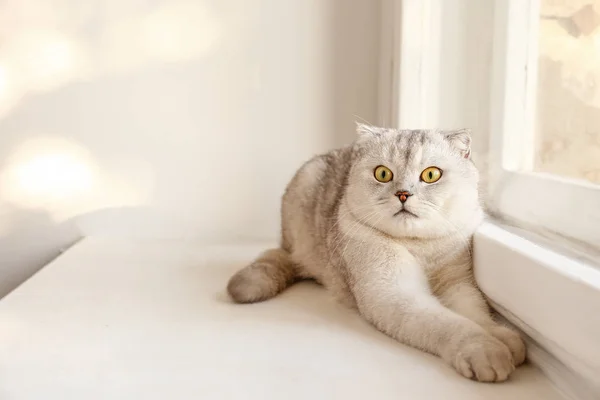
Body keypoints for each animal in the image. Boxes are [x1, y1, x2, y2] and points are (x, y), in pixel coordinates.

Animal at [227, 124, 528, 382]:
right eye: (383, 174)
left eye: (431, 175)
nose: (403, 194)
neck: (420, 246)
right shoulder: (393, 294)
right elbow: (450, 324)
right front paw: (485, 349)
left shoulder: (458, 283)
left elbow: (475, 313)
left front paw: (501, 336)